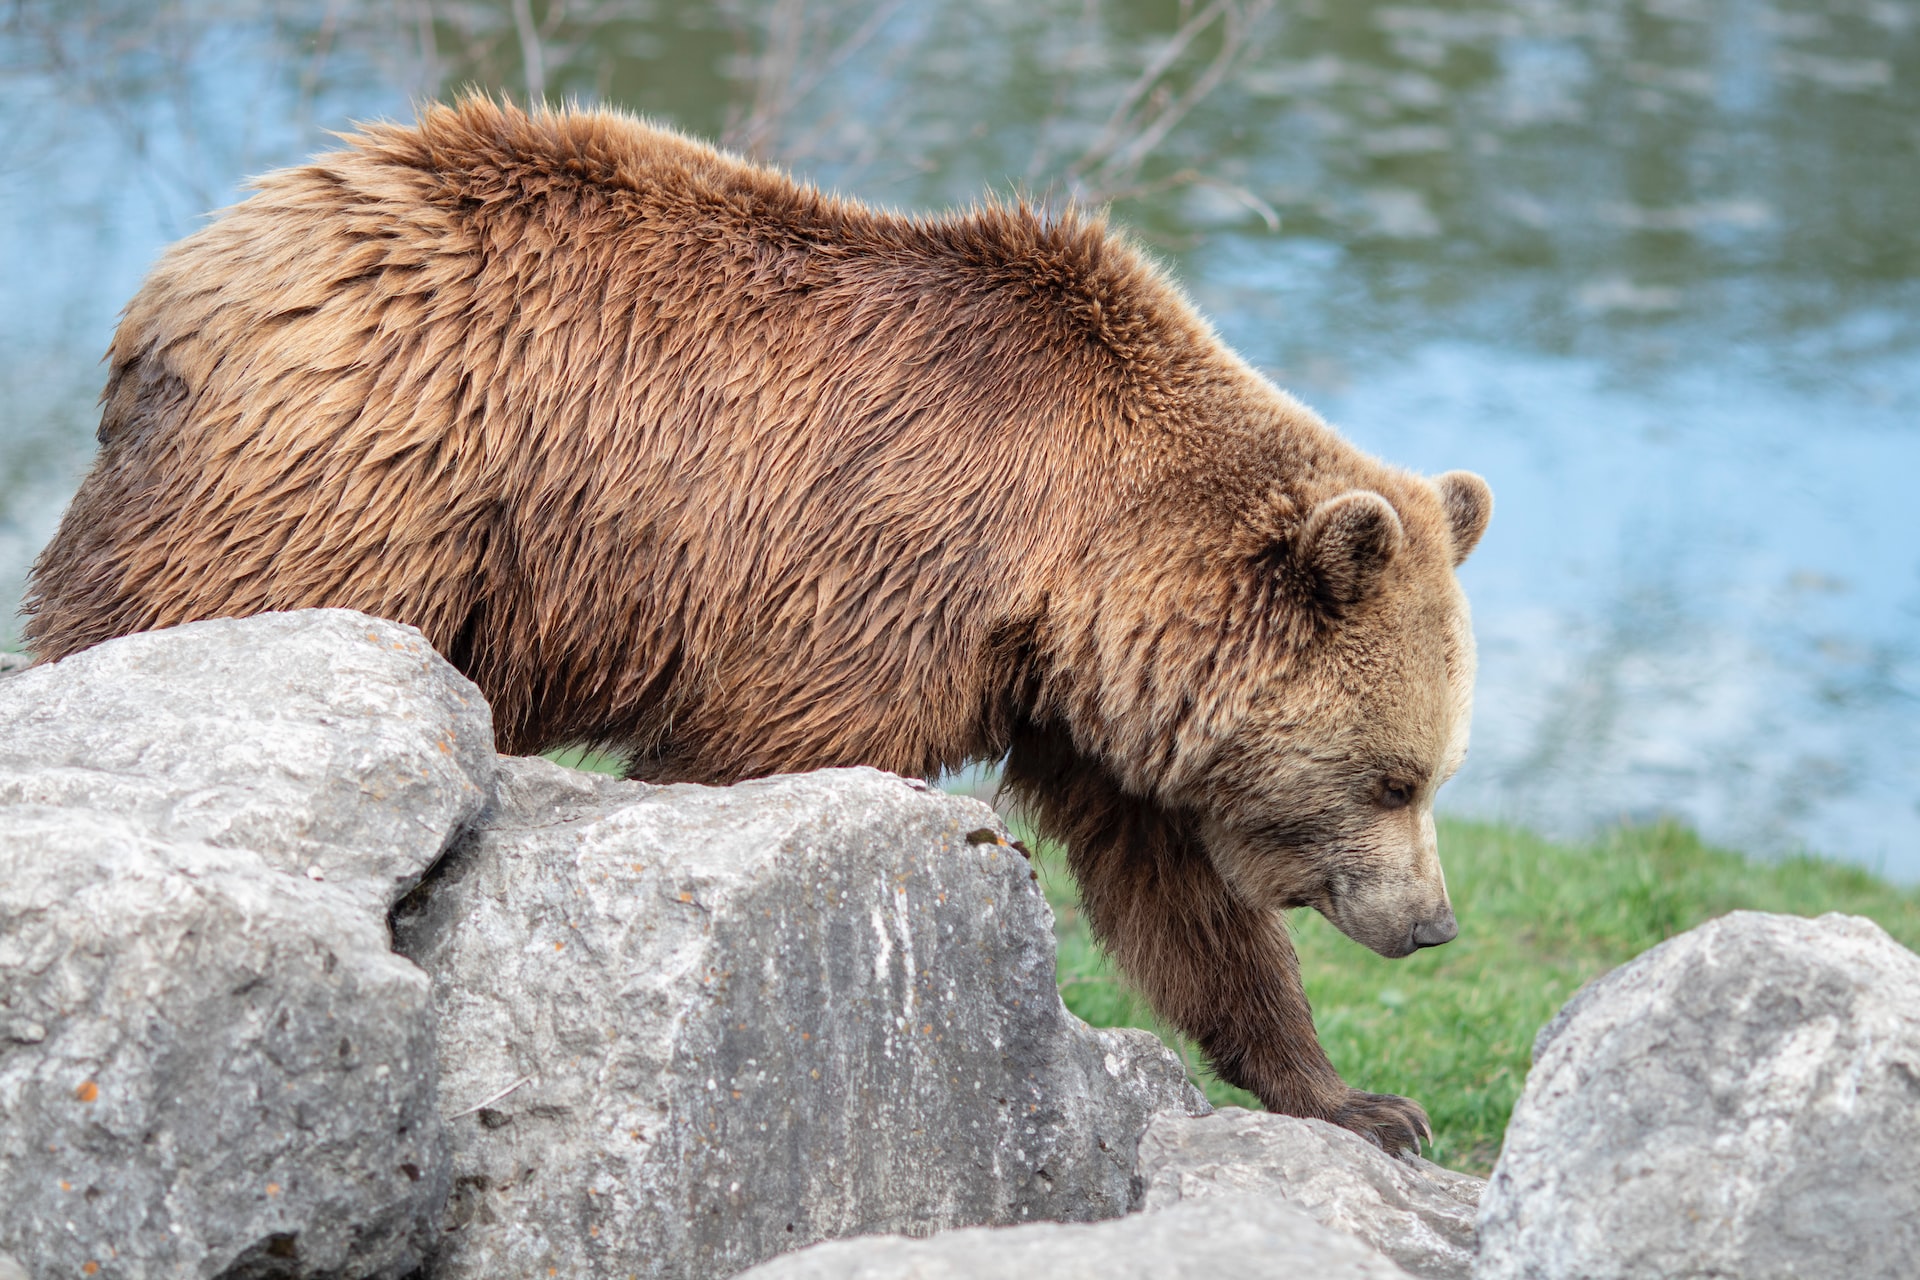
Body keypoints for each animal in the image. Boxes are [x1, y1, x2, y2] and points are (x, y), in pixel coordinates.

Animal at [33, 97, 1497, 1151]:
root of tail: (209, 256)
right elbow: (757, 762)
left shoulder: (1088, 707)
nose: (1431, 922)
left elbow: (1185, 896)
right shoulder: (877, 583)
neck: (1075, 557)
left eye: (1434, 772)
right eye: (1396, 775)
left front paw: (1359, 1099)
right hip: (361, 484)